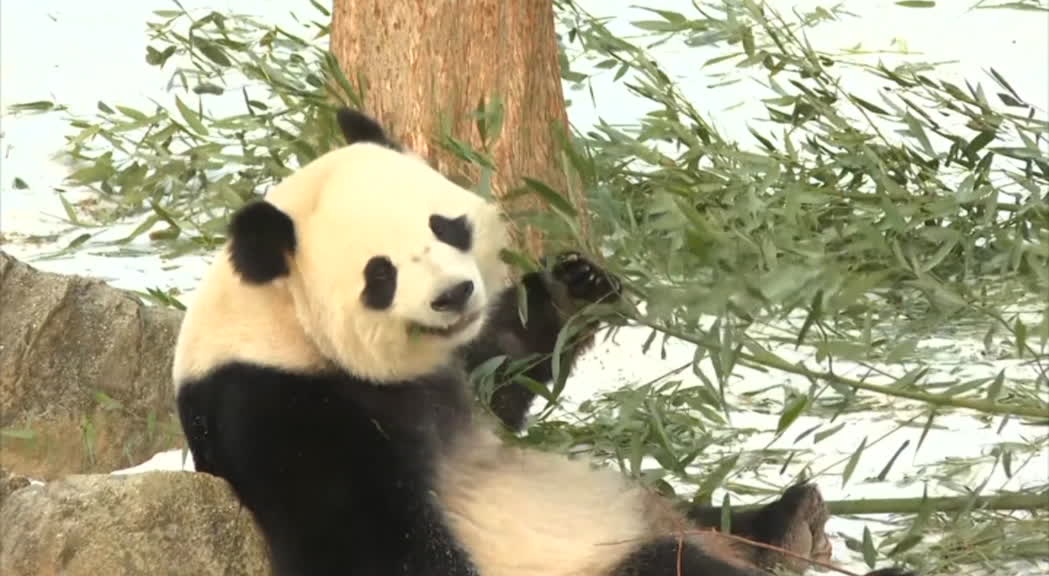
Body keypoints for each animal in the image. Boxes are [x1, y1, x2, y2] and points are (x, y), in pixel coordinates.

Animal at [169, 108, 910, 574]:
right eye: (379, 274)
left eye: (445, 226)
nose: (454, 295)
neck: (279, 322)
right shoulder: (283, 408)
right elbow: (370, 542)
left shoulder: (446, 371)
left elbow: (500, 371)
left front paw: (571, 288)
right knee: (670, 566)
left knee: (701, 511)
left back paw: (790, 524)